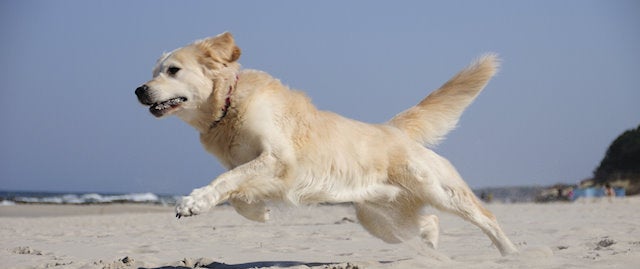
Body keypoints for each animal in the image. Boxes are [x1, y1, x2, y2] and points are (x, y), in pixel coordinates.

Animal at [136, 32, 520, 254]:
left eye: (172, 70)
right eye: (154, 71)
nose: (139, 90)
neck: (228, 105)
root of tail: (393, 129)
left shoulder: (278, 159)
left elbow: (226, 180)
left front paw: (194, 202)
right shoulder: (254, 167)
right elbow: (237, 192)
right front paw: (260, 213)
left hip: (440, 190)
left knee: (486, 218)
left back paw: (510, 254)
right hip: (380, 219)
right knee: (431, 224)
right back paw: (431, 251)